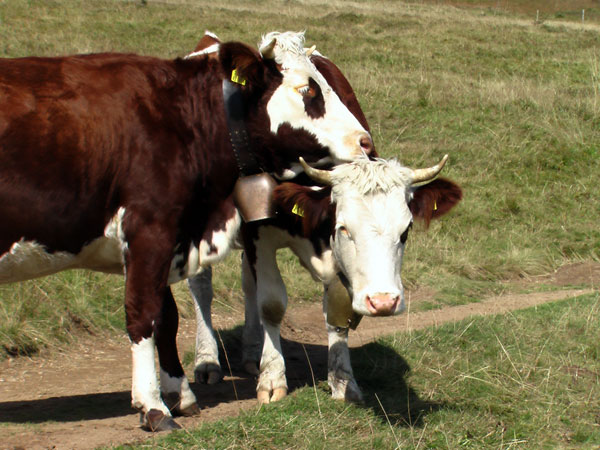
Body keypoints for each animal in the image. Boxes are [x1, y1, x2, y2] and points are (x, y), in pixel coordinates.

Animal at [0, 29, 372, 430]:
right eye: (307, 89)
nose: (364, 140)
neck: (181, 117)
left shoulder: (169, 236)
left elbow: (166, 316)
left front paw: (178, 393)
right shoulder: (149, 230)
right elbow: (143, 314)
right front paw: (153, 406)